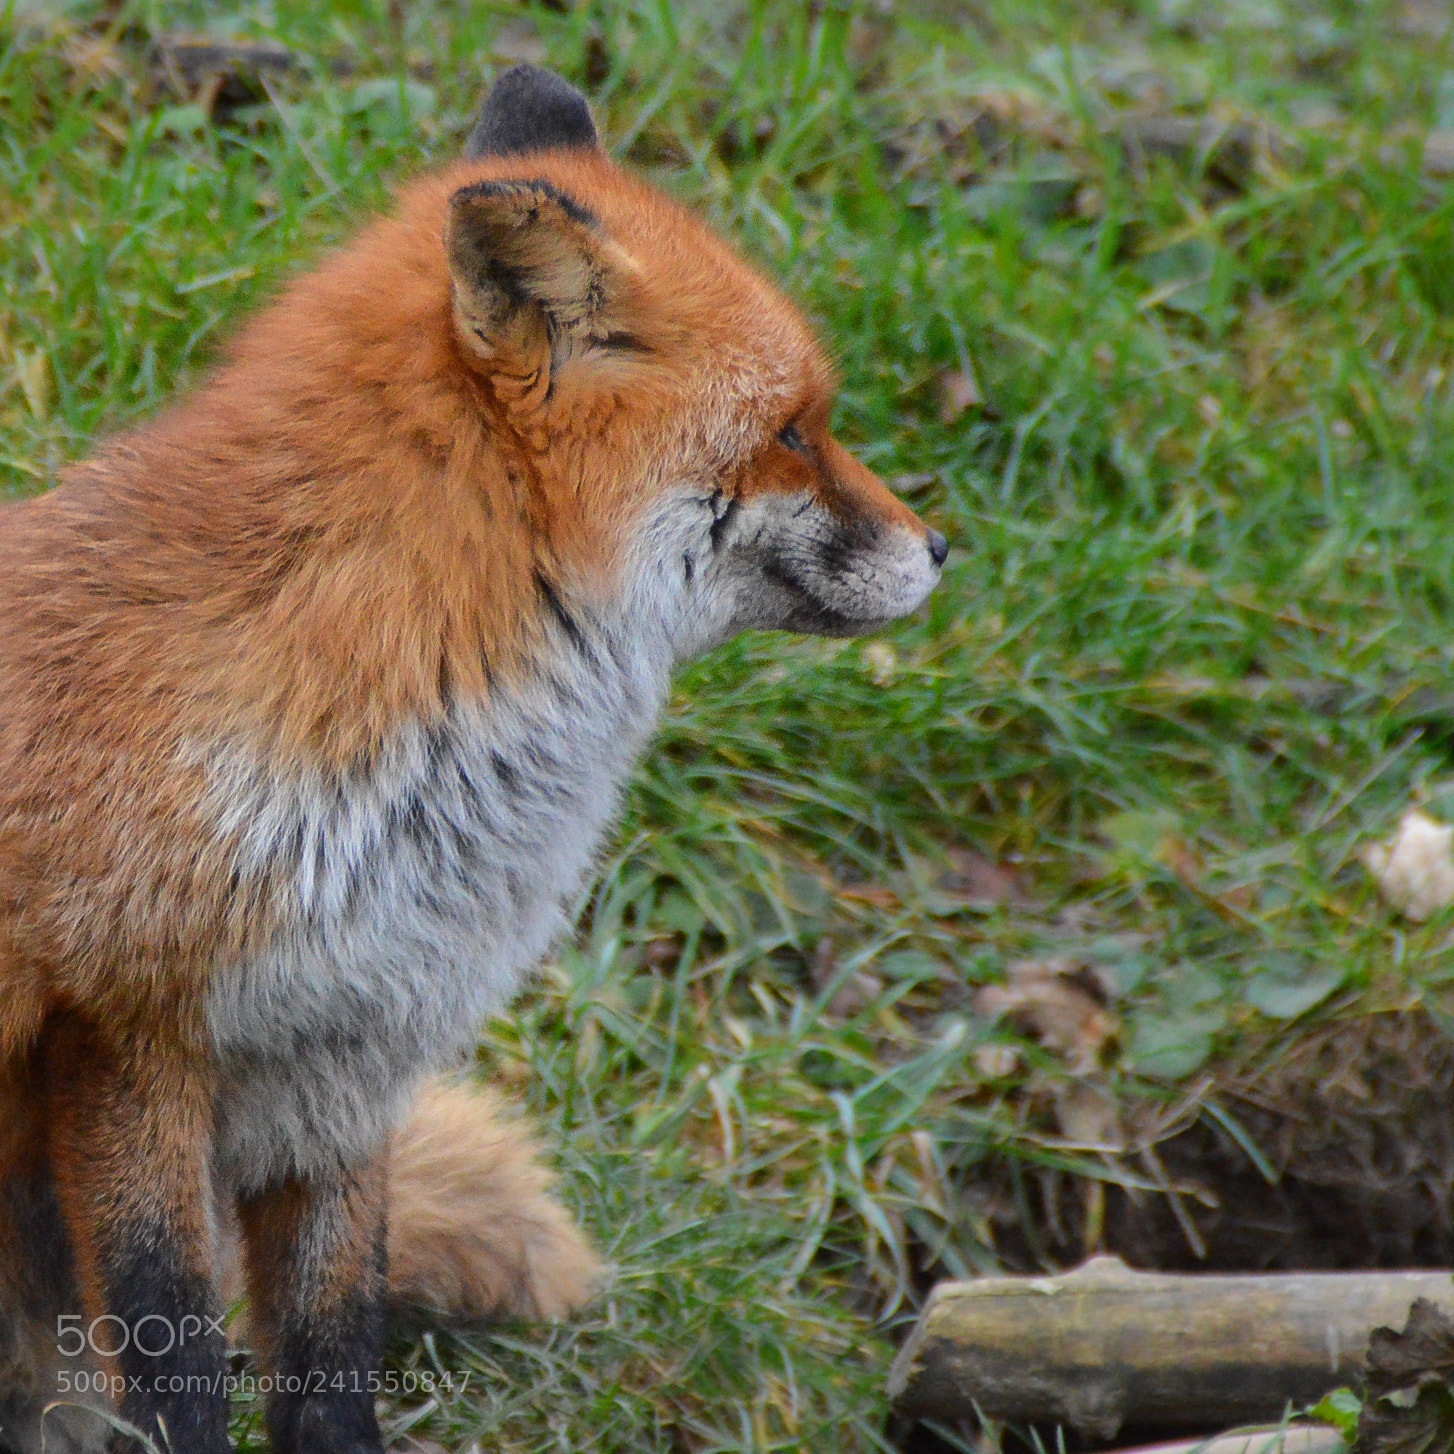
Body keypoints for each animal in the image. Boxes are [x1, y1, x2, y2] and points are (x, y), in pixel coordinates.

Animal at [0, 62, 946, 1454]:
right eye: (790, 431)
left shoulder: (343, 1063)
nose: (940, 550)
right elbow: (178, 1366)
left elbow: (333, 1353)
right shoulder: (129, 1039)